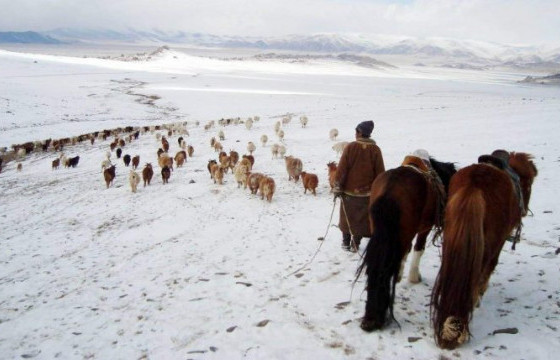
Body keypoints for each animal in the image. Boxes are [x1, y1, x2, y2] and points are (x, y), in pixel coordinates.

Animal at [356, 155, 458, 332]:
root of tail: (390, 191)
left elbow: (405, 252)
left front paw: (400, 275)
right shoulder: (424, 227)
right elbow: (418, 249)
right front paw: (413, 277)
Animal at [430, 151, 536, 348]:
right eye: (529, 184)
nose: (524, 211)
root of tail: (475, 185)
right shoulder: (498, 244)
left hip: (452, 237)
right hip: (488, 245)